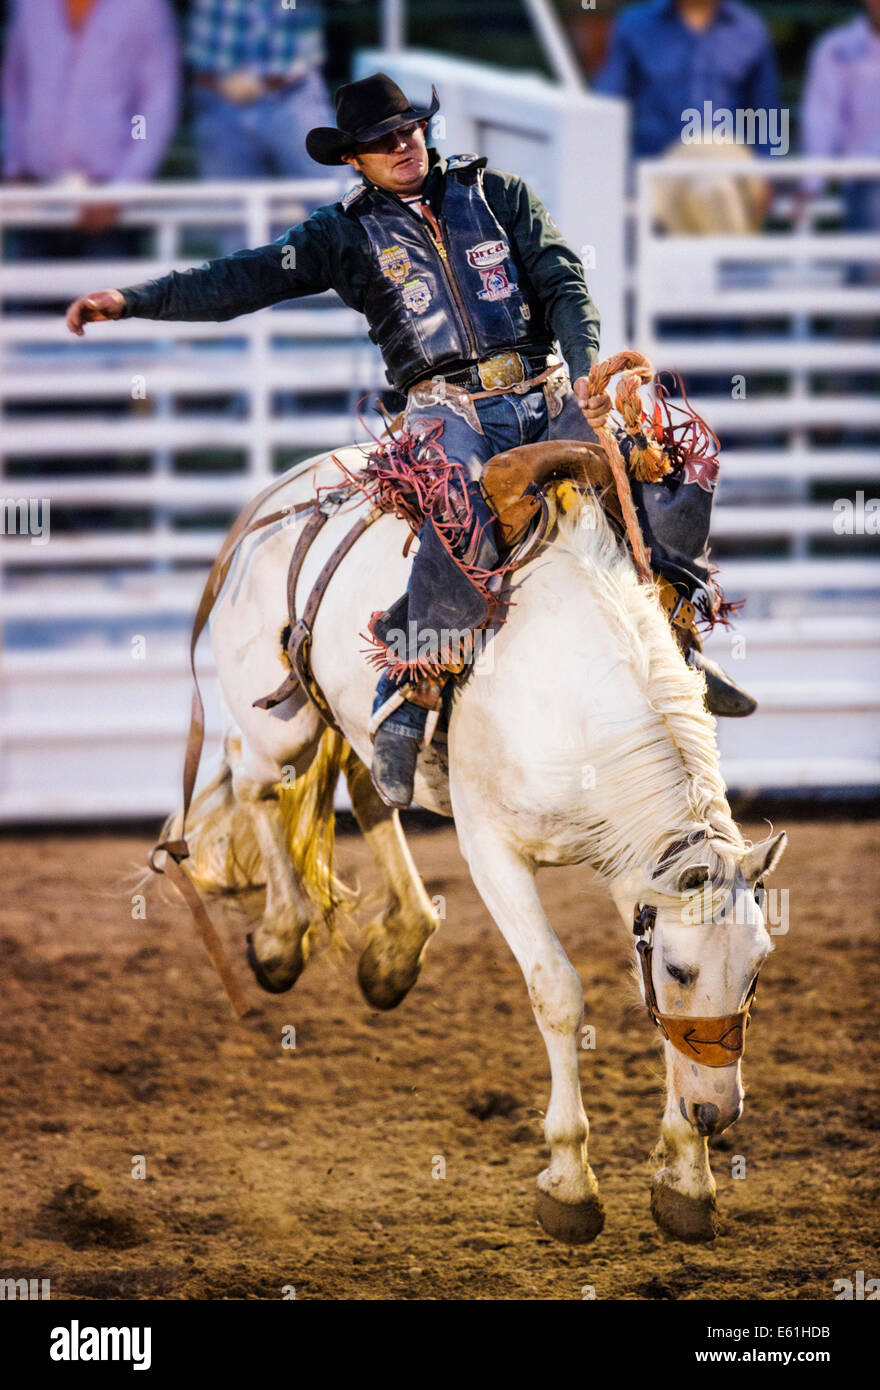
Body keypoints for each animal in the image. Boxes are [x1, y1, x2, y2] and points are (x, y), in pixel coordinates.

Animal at [159, 443, 787, 1245]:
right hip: (280, 724)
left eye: (758, 969)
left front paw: (686, 1175)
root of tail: (284, 492)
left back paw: (396, 950)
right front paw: (570, 1183)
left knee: (369, 784)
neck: (571, 698)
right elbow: (557, 991)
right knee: (254, 779)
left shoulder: (635, 872)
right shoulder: (493, 852)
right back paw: (279, 941)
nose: (719, 1112)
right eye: (680, 970)